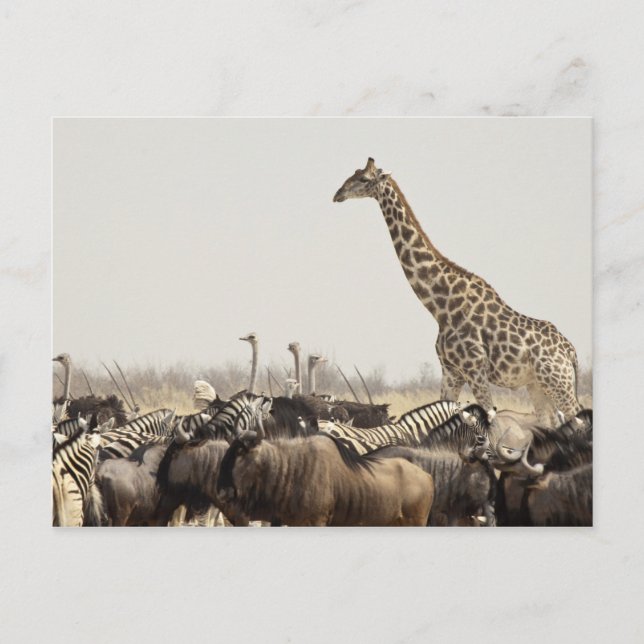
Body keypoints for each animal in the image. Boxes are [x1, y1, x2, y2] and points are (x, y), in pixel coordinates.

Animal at [333, 157, 582, 427]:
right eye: (353, 173)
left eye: (364, 179)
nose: (338, 194)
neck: (441, 306)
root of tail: (571, 352)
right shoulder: (451, 371)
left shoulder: (475, 370)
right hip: (537, 386)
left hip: (558, 383)